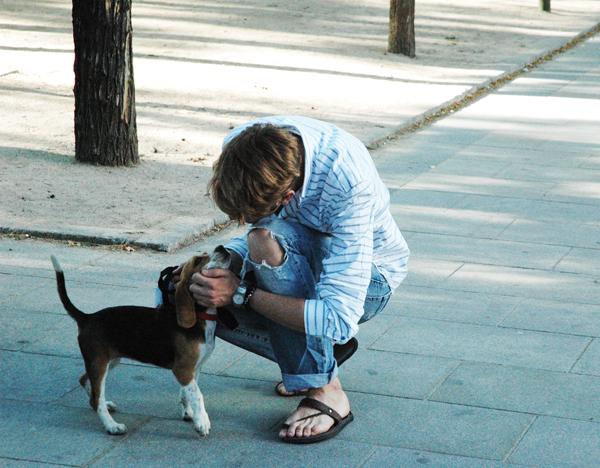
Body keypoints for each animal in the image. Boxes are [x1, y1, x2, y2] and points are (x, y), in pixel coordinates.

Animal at [49, 247, 230, 436]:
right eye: (198, 260)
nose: (222, 248)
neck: (202, 315)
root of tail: (87, 318)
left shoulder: (195, 368)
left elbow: (187, 393)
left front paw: (190, 414)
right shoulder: (182, 369)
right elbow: (197, 394)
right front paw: (202, 422)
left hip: (108, 361)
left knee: (86, 384)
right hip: (99, 363)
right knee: (97, 398)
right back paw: (112, 425)